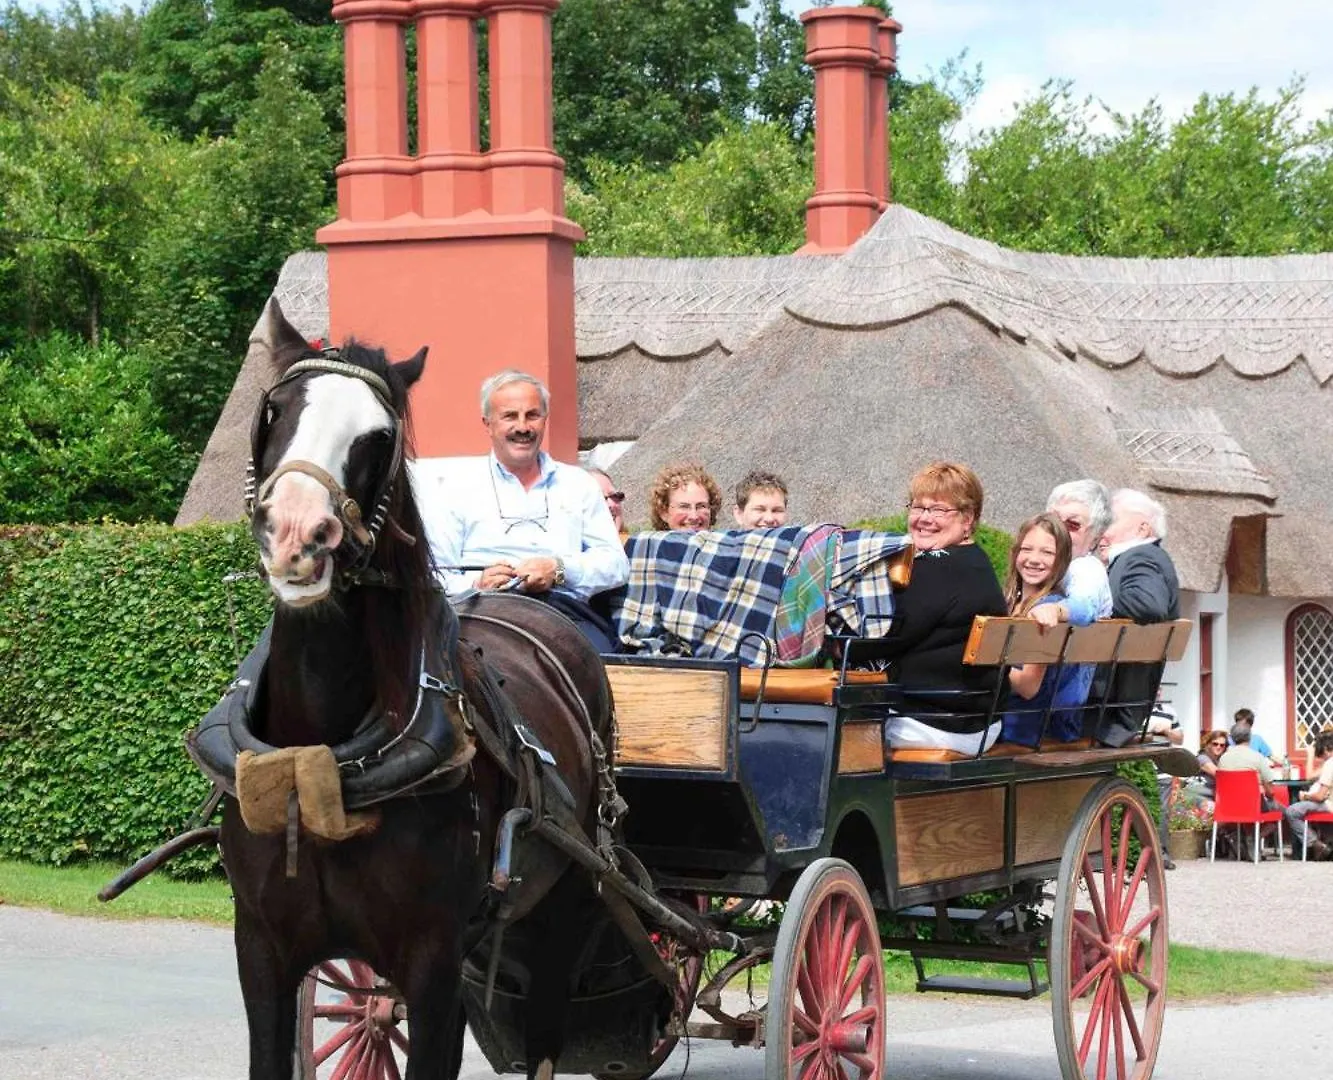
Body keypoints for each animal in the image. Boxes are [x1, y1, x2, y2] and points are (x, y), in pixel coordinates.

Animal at [218, 297, 613, 1077]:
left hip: (564, 901)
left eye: (379, 437)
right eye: (274, 410)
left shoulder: (434, 965)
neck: (327, 754)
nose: (298, 532)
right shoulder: (262, 952)